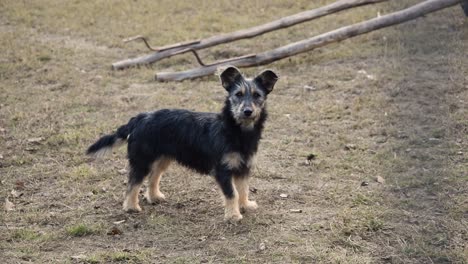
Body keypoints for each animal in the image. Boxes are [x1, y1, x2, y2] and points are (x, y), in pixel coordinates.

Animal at [87, 66, 278, 221]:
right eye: (238, 94)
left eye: (257, 95)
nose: (247, 111)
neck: (237, 132)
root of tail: (138, 119)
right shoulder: (222, 170)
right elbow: (232, 193)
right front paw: (233, 216)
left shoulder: (244, 167)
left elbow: (243, 189)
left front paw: (245, 205)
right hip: (142, 160)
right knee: (133, 183)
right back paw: (131, 207)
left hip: (163, 158)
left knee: (153, 176)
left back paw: (154, 197)